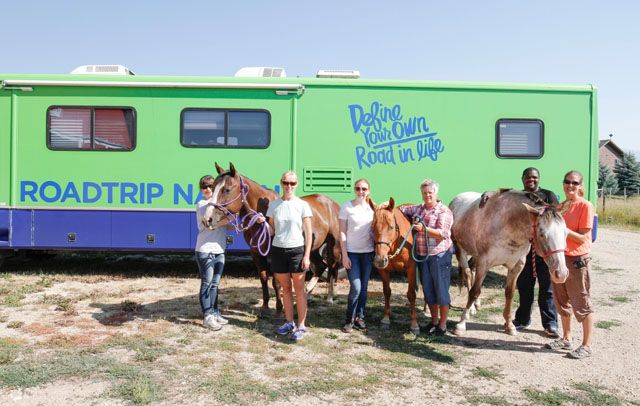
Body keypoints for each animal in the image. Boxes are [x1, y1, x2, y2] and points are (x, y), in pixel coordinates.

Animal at [205, 163, 344, 318]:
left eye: (227, 189)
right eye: (212, 188)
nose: (208, 219)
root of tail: (332, 203)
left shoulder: (276, 253)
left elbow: (276, 282)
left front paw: (278, 309)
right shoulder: (256, 253)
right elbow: (263, 278)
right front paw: (265, 306)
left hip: (333, 246)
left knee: (332, 268)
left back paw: (329, 298)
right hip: (312, 248)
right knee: (320, 267)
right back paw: (307, 294)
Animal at [368, 198, 422, 334]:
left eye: (391, 227)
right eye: (372, 227)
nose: (379, 259)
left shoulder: (411, 269)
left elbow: (411, 294)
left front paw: (414, 324)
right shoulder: (383, 270)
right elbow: (387, 291)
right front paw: (386, 319)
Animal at [448, 190, 572, 336]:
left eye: (566, 233)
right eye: (542, 234)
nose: (561, 273)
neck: (508, 224)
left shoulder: (516, 267)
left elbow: (510, 293)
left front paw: (509, 325)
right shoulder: (484, 263)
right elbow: (475, 291)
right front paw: (461, 325)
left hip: (476, 255)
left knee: (471, 269)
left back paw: (476, 305)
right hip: (461, 250)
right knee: (467, 273)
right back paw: (471, 308)